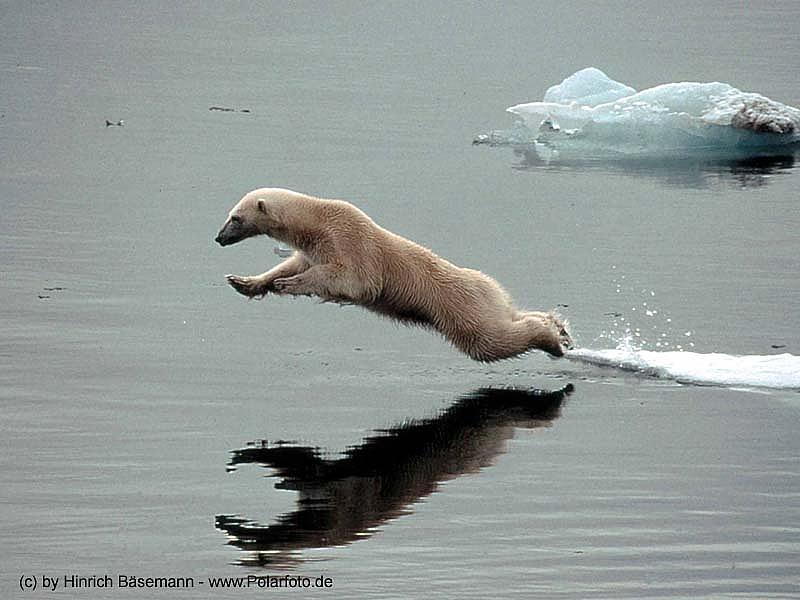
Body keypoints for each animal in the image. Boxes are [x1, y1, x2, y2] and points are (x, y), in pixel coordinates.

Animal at [216, 188, 572, 360]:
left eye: (235, 218)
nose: (218, 238)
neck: (318, 221)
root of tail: (491, 287)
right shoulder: (315, 247)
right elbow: (294, 263)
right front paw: (245, 282)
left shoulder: (350, 240)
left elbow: (352, 280)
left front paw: (287, 284)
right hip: (488, 298)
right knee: (512, 317)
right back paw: (557, 325)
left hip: (462, 307)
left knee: (490, 339)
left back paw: (553, 340)